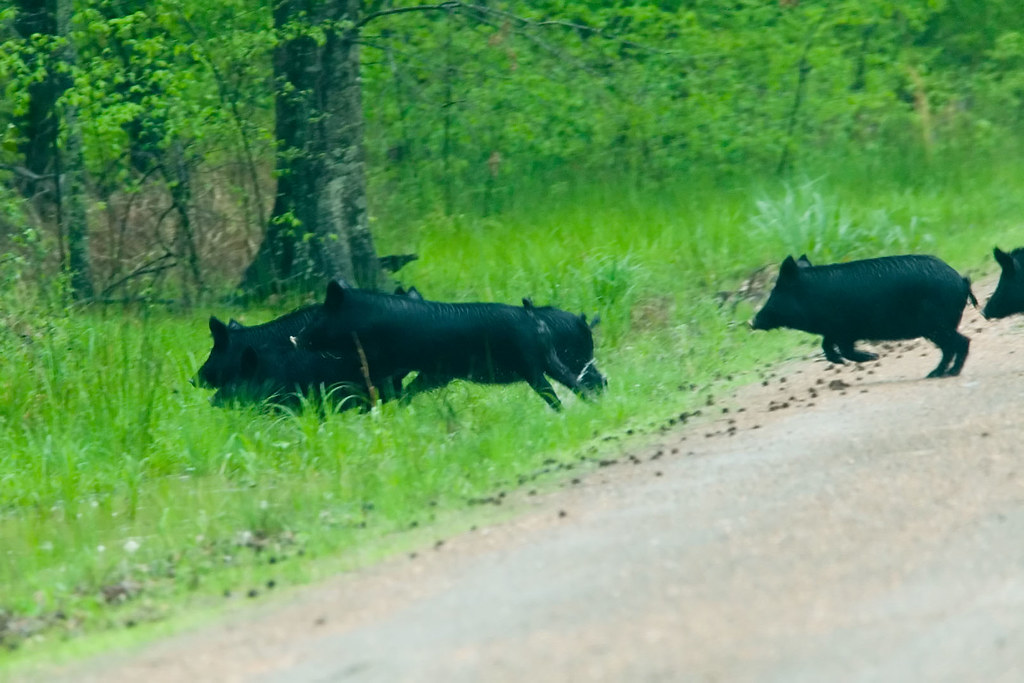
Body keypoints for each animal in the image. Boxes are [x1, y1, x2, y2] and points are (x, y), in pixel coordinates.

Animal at [751, 254, 976, 378]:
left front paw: (872, 357)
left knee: (961, 342)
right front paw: (844, 361)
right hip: (939, 327)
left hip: (937, 325)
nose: (752, 322)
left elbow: (843, 348)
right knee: (951, 347)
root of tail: (961, 280)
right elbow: (827, 345)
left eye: (776, 293)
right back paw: (937, 374)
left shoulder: (845, 328)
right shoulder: (835, 330)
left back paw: (944, 374)